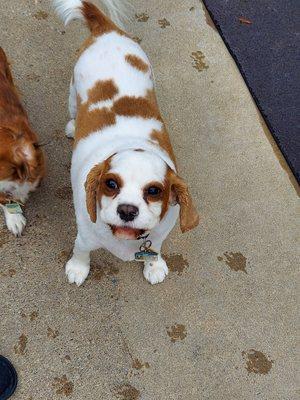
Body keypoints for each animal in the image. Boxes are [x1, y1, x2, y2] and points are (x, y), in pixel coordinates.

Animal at [54, 1, 199, 286]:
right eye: (110, 184)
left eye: (154, 191)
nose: (128, 210)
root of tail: (107, 29)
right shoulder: (85, 235)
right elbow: (81, 251)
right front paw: (78, 268)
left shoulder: (159, 235)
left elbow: (156, 249)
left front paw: (153, 265)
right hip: (73, 92)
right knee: (74, 109)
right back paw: (73, 127)